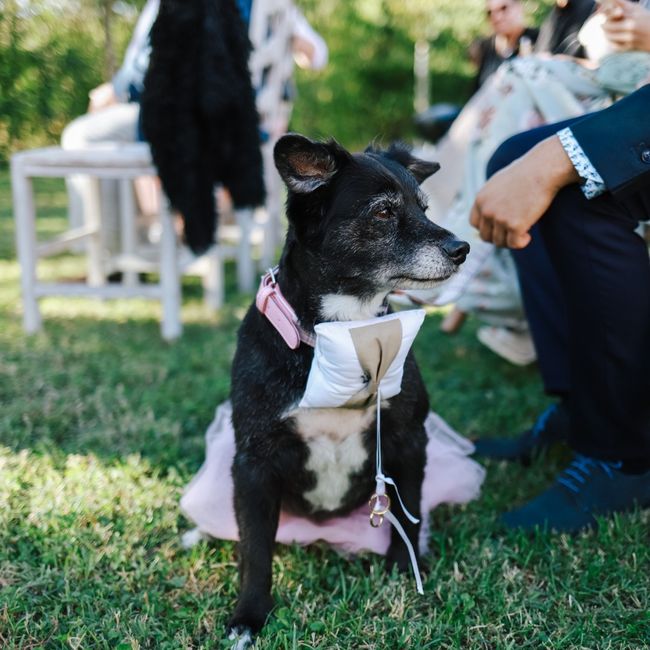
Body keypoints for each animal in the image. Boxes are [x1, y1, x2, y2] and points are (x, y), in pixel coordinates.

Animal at [227, 133, 466, 644]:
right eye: (383, 212)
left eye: (423, 207)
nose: (462, 248)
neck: (344, 332)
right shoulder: (253, 464)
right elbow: (255, 550)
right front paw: (249, 615)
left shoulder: (408, 440)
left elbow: (409, 512)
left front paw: (404, 570)